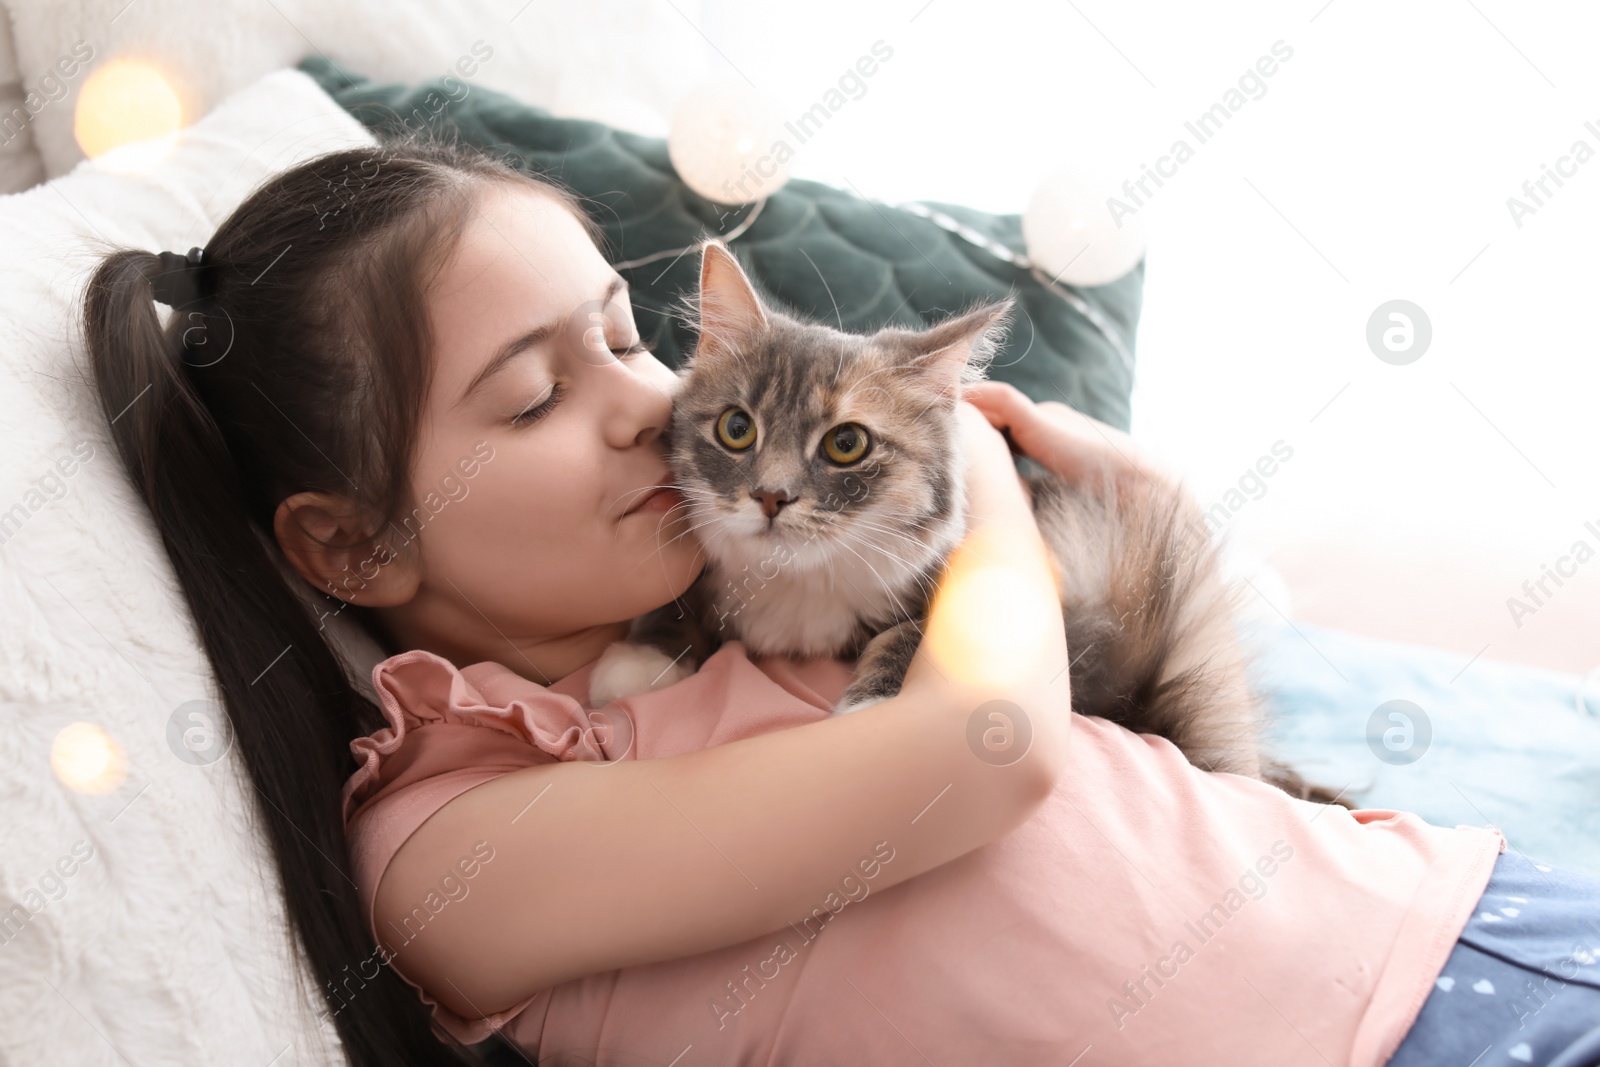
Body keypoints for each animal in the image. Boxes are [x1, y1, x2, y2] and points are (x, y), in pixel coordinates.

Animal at [595, 239, 1344, 799]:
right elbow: (675, 602)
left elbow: (901, 639)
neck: (799, 588)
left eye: (846, 443)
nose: (772, 497)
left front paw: (871, 707)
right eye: (736, 428)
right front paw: (637, 659)